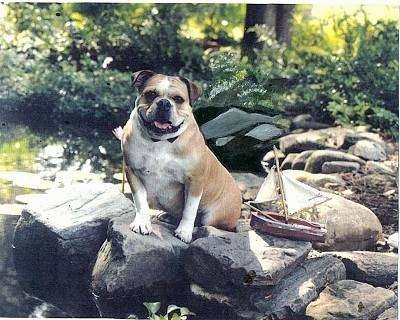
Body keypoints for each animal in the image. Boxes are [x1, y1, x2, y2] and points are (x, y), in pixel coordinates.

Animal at [117, 70, 241, 242]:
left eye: (178, 99)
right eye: (151, 94)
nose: (164, 103)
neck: (160, 141)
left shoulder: (194, 180)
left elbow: (190, 209)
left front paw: (184, 231)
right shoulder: (133, 171)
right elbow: (140, 199)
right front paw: (142, 222)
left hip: (214, 215)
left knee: (203, 222)